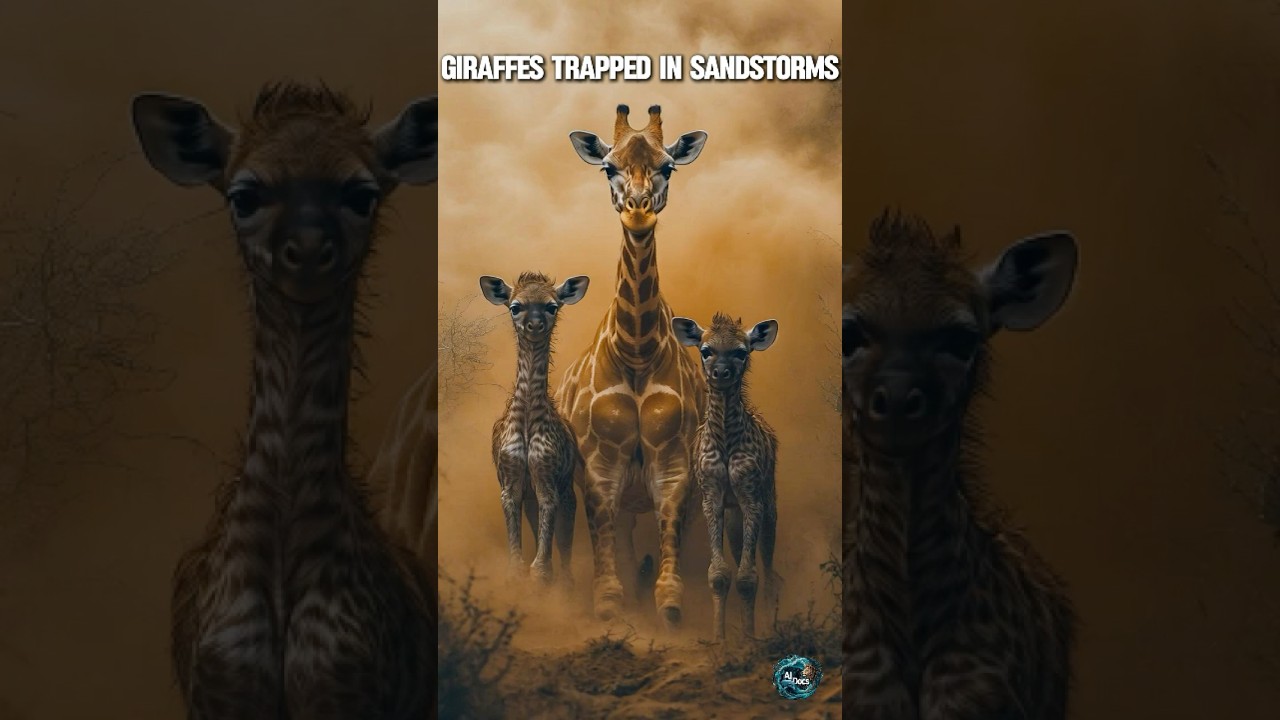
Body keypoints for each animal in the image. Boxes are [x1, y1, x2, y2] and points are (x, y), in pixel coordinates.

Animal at [480, 271, 590, 585]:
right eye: (515, 306)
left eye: (552, 306)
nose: (535, 325)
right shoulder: (510, 480)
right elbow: (516, 565)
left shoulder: (547, 477)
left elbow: (542, 569)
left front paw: (547, 578)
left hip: (567, 490)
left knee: (566, 540)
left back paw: (569, 582)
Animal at [557, 104, 708, 628]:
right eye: (608, 167)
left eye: (668, 167)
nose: (638, 211)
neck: (637, 351)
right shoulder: (600, 462)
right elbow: (602, 522)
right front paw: (608, 600)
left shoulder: (674, 461)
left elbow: (671, 522)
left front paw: (669, 601)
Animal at [672, 313, 782, 643]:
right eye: (706, 349)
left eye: (741, 352)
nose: (721, 372)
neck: (725, 442)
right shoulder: (713, 496)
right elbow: (719, 574)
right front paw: (718, 637)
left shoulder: (752, 496)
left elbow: (748, 577)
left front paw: (749, 638)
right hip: (734, 518)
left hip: (769, 505)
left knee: (772, 573)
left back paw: (771, 627)